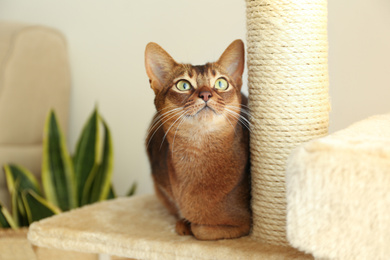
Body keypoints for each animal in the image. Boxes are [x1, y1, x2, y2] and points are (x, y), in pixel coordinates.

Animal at [145, 39, 251, 241]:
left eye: (221, 83)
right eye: (183, 85)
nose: (206, 94)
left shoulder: (246, 224)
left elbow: (201, 230)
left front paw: (190, 224)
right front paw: (183, 222)